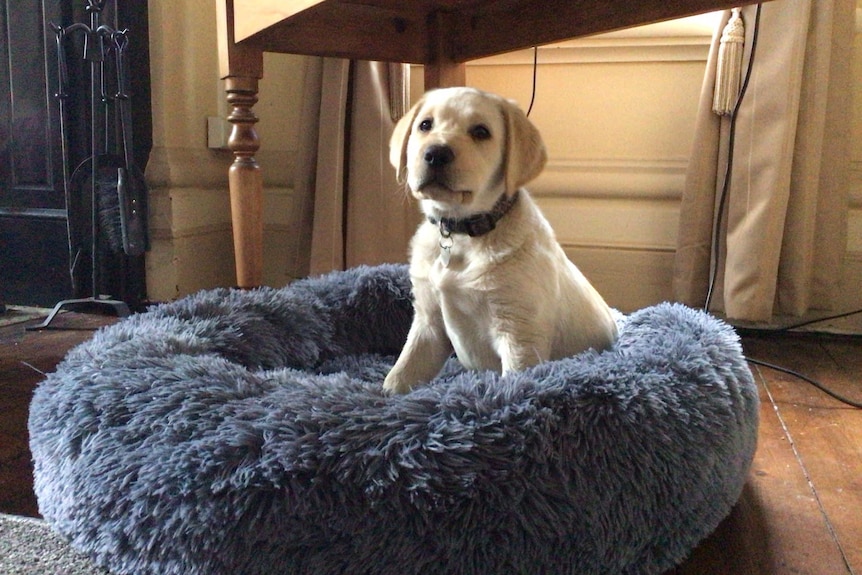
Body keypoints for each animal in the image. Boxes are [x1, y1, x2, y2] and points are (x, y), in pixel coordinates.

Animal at [382, 88, 616, 396]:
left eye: (481, 132)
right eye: (425, 125)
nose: (435, 153)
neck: (461, 235)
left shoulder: (519, 333)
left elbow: (514, 384)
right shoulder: (427, 321)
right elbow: (404, 369)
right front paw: (383, 396)